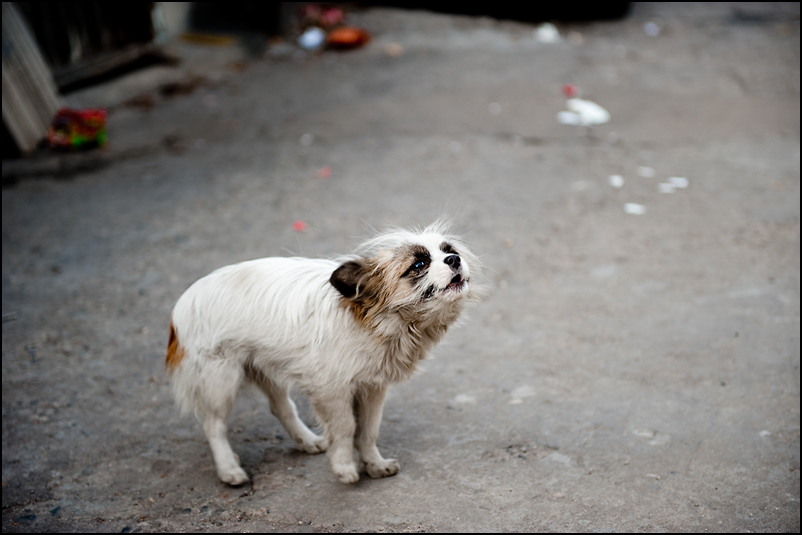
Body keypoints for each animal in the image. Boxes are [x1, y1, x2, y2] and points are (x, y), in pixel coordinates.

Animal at [162, 222, 476, 486]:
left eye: (449, 251)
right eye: (419, 264)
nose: (454, 260)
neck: (374, 321)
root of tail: (180, 308)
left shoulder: (372, 387)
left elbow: (368, 430)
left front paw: (374, 464)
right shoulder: (332, 390)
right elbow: (347, 428)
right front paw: (344, 466)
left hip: (266, 366)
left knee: (282, 407)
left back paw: (307, 441)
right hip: (220, 380)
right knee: (213, 425)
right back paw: (229, 469)